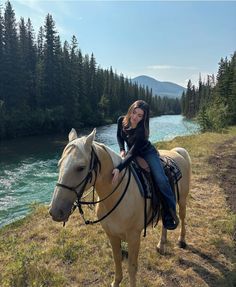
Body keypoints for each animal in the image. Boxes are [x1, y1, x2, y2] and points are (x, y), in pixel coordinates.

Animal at [49, 129, 192, 287]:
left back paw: (182, 240)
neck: (116, 196)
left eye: (80, 167)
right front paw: (115, 282)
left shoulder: (134, 237)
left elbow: (132, 267)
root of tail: (176, 152)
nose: (55, 211)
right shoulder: (112, 235)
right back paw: (161, 244)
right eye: (59, 165)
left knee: (182, 216)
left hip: (182, 200)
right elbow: (117, 260)